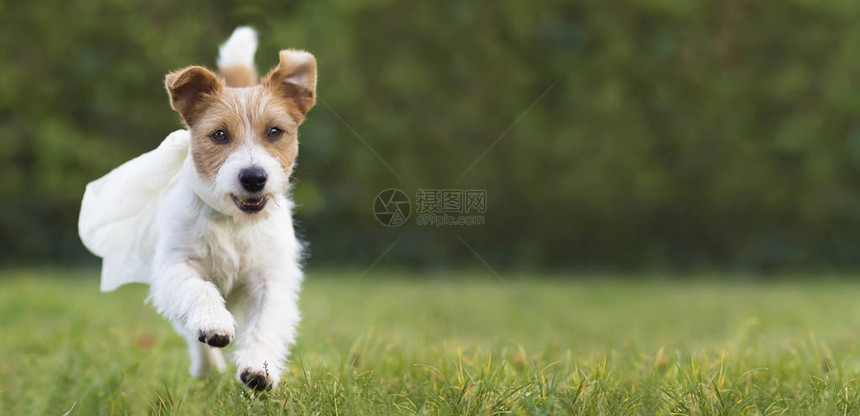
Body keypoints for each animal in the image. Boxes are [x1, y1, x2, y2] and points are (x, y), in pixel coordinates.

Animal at [80, 27, 316, 392]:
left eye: (275, 132)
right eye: (219, 135)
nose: (253, 177)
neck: (233, 221)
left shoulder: (269, 280)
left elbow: (263, 324)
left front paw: (257, 368)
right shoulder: (175, 266)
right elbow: (199, 289)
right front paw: (214, 325)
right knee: (192, 331)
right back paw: (207, 367)